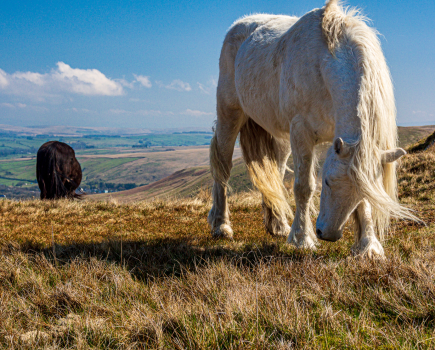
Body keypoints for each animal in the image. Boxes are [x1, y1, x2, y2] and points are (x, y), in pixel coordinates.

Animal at [208, 0, 416, 258]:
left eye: (360, 194)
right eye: (327, 182)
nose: (328, 234)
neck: (324, 64)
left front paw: (368, 246)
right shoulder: (302, 133)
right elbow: (304, 187)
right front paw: (302, 238)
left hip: (281, 137)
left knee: (275, 172)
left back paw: (277, 225)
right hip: (230, 114)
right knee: (223, 168)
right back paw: (221, 225)